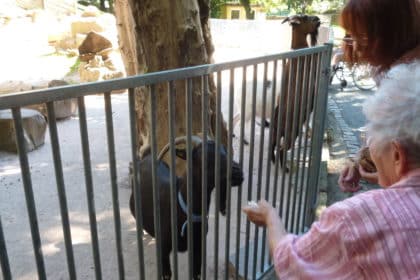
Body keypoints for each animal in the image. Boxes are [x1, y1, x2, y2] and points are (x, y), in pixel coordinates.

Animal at [270, 14, 320, 166]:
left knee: (273, 146)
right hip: (292, 134)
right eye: (305, 18)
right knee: (281, 149)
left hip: (277, 134)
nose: (318, 19)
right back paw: (284, 168)